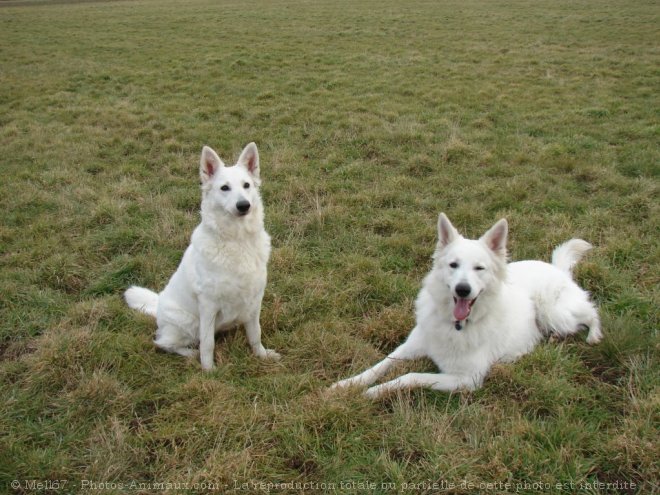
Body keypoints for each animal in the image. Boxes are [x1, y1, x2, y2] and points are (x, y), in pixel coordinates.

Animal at [125, 141, 280, 370]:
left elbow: (255, 333)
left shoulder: (254, 300)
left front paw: (261, 355)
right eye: (224, 188)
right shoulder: (208, 305)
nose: (244, 205)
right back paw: (190, 354)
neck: (237, 240)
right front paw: (209, 370)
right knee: (163, 343)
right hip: (189, 323)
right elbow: (208, 343)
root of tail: (159, 303)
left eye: (246, 185)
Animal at [332, 213, 600, 400]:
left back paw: (594, 336)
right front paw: (347, 384)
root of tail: (556, 268)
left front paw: (373, 392)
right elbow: (381, 364)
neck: (456, 324)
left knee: (591, 312)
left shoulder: (467, 380)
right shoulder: (410, 346)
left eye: (479, 268)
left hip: (555, 312)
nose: (462, 289)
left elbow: (409, 375)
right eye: (453, 265)